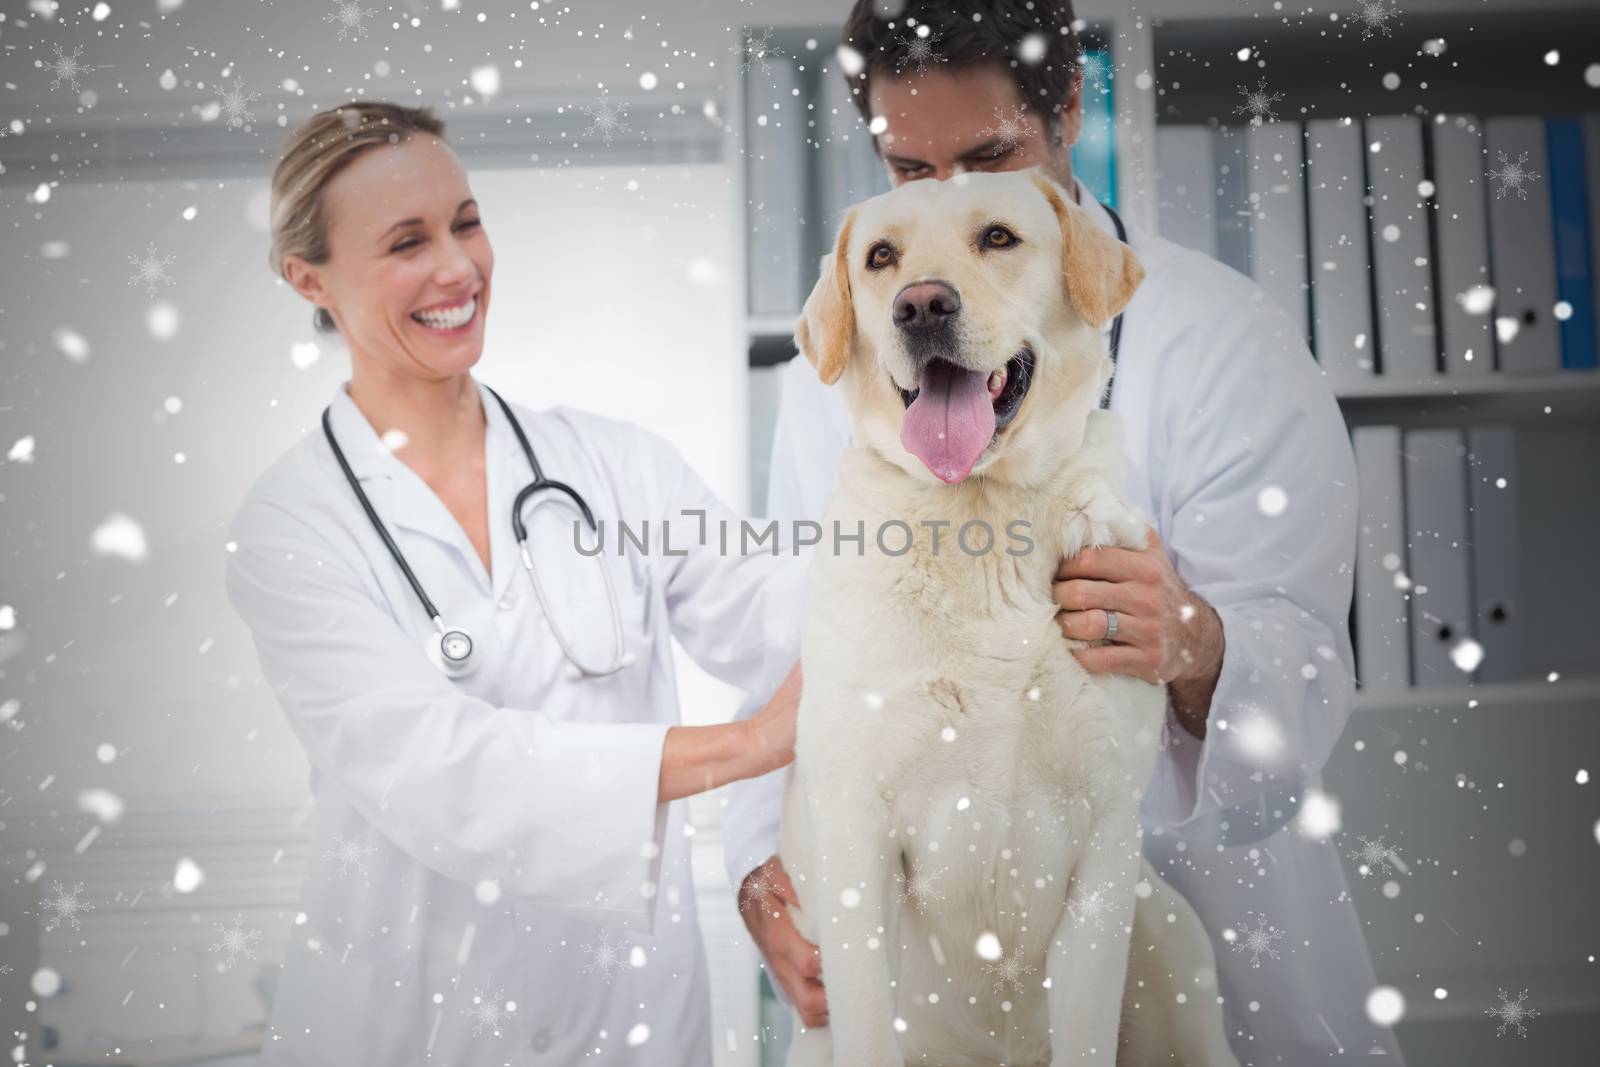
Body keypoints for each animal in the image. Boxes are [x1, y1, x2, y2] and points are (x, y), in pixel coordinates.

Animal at [777, 171, 1235, 1062]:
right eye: (880, 257)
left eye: (997, 238)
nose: (920, 305)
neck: (980, 520)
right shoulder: (855, 839)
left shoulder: (1103, 845)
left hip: (1171, 945)